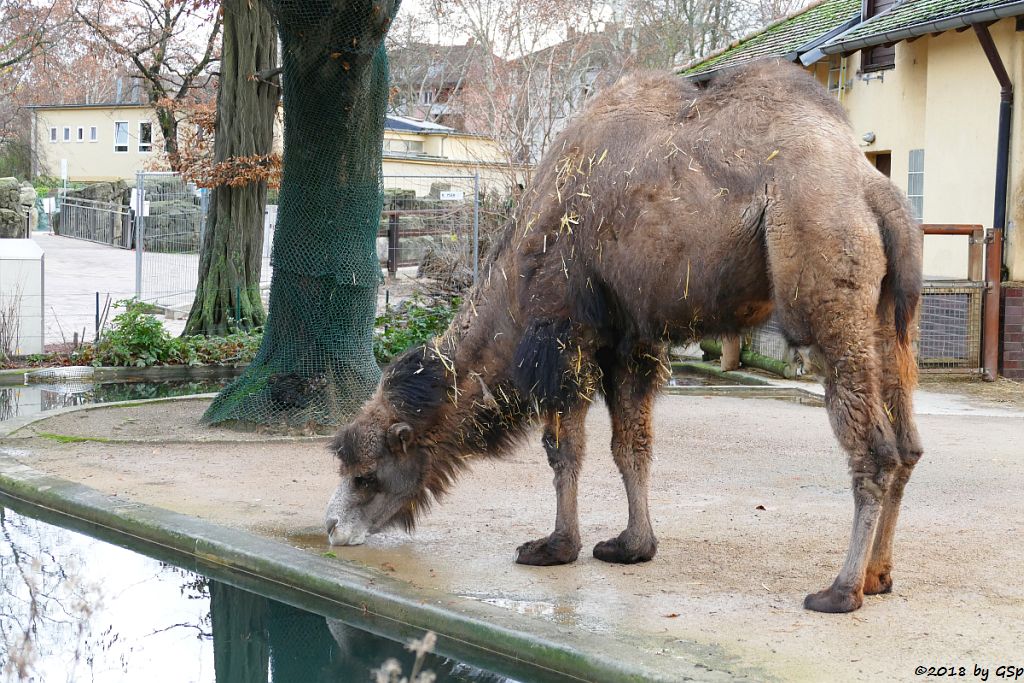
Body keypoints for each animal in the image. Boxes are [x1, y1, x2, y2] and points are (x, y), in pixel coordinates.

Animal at [323, 60, 925, 614]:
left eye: (366, 477)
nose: (330, 526)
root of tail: (873, 189)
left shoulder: (562, 335)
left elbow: (564, 450)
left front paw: (555, 546)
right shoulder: (630, 341)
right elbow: (630, 446)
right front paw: (633, 545)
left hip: (822, 278)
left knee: (874, 446)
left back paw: (840, 590)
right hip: (888, 316)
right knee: (908, 443)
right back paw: (879, 575)